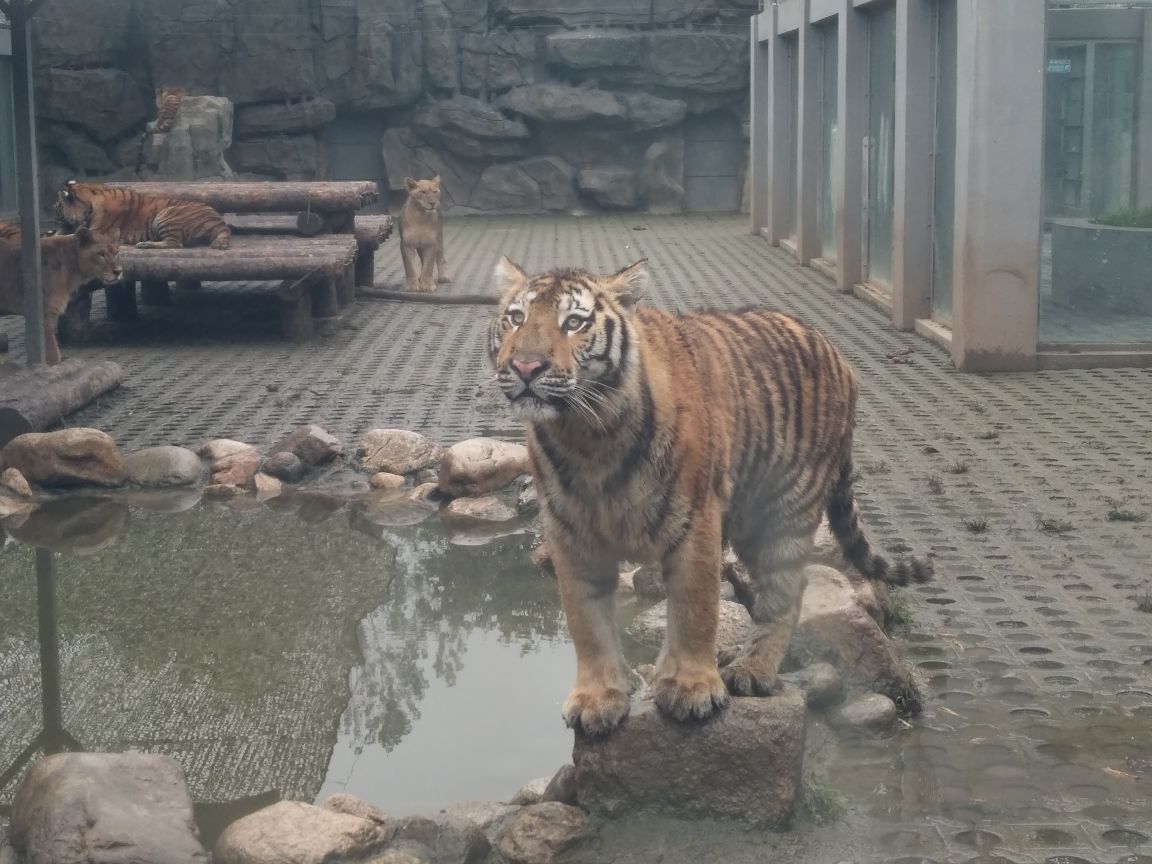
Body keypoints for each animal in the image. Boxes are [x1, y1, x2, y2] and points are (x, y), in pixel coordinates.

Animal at [54, 179, 231, 249]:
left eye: (58, 208)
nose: (55, 222)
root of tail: (220, 221)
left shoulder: (98, 232)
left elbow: (69, 236)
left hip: (165, 215)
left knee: (174, 243)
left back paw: (144, 244)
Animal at [488, 259, 935, 737]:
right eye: (516, 318)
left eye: (574, 323)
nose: (525, 366)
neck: (586, 436)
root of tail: (839, 355)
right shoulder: (571, 536)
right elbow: (587, 622)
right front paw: (598, 698)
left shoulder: (695, 523)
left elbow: (694, 609)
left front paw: (691, 689)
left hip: (784, 512)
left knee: (786, 592)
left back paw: (752, 671)